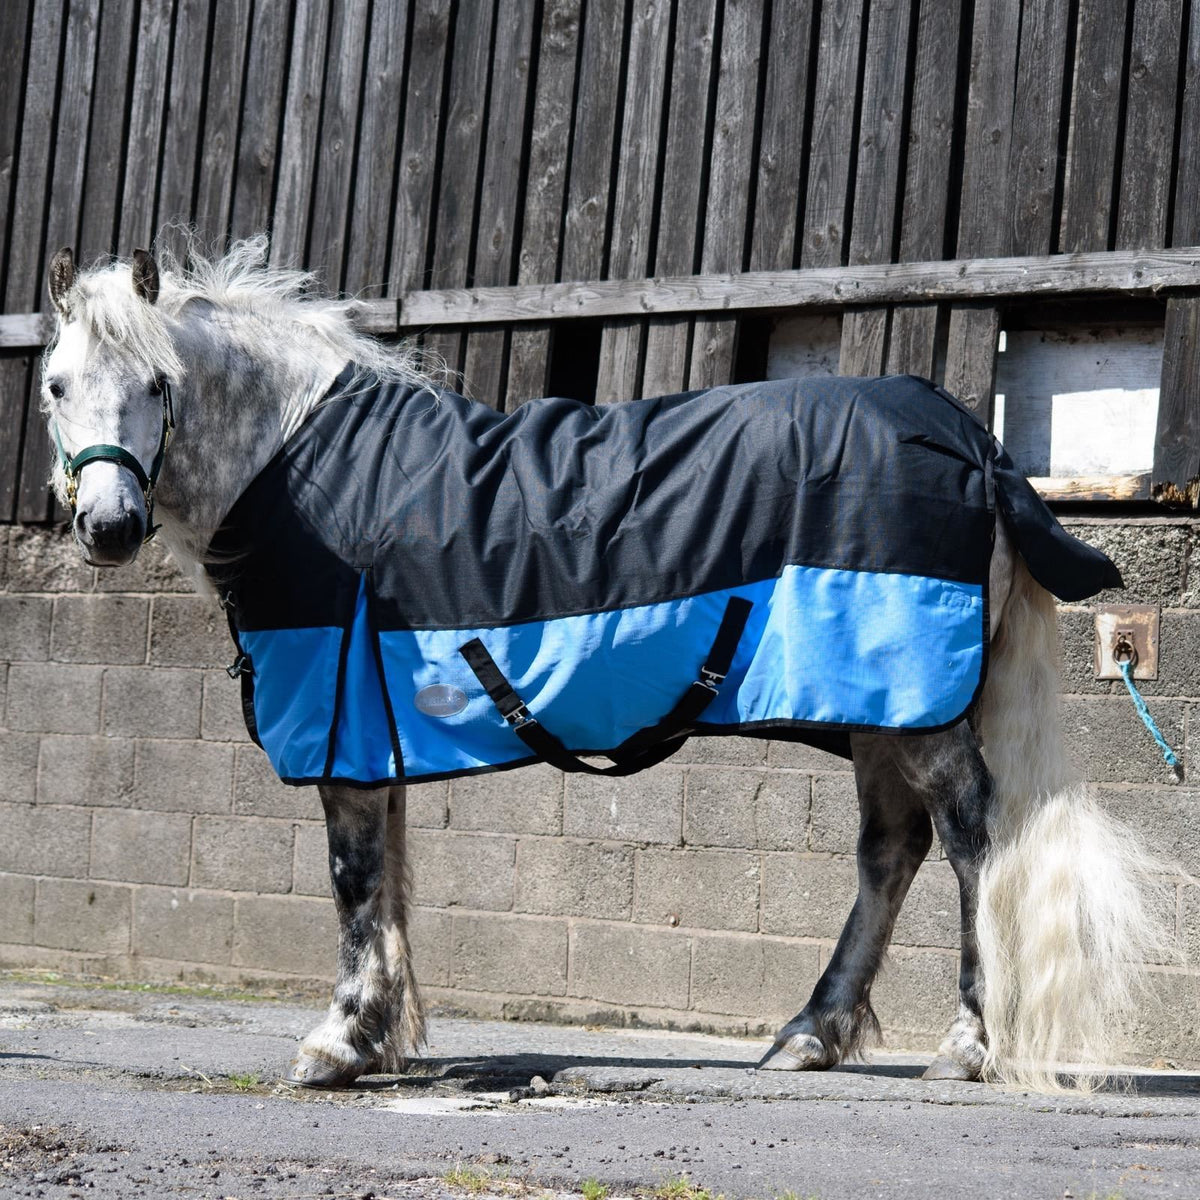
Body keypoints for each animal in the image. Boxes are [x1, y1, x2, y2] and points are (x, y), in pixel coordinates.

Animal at [37, 237, 1170, 1093]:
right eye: (55, 385)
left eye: (157, 385)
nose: (108, 527)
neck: (307, 463)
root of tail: (971, 441)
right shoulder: (376, 717)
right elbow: (389, 876)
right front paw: (381, 1039)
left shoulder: (342, 711)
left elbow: (354, 877)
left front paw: (336, 1042)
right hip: (873, 710)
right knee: (890, 851)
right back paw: (808, 1033)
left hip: (914, 709)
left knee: (973, 837)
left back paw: (969, 1043)